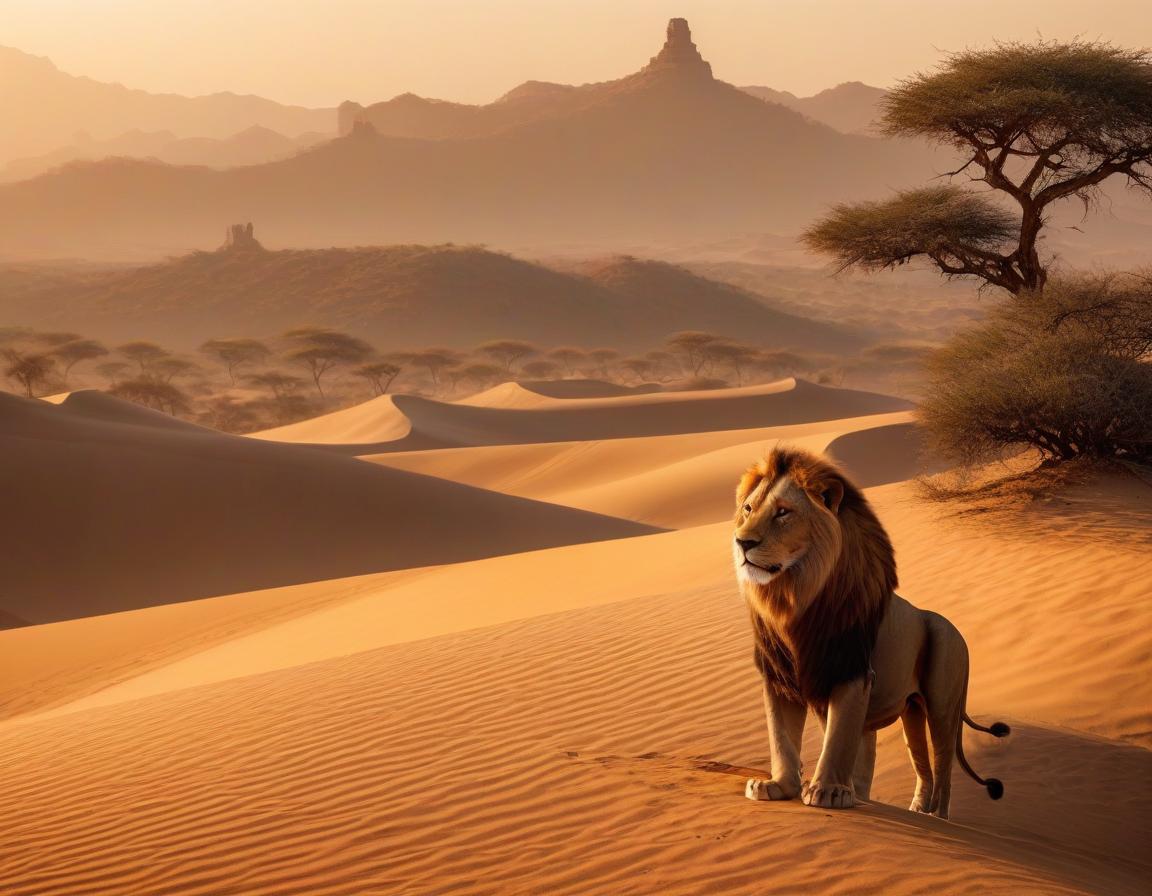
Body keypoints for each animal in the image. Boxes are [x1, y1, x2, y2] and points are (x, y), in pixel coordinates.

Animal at [732, 442, 1004, 815]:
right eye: (748, 509)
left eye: (783, 512)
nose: (742, 542)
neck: (793, 600)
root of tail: (957, 632)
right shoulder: (780, 676)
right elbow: (782, 736)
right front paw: (778, 786)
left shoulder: (853, 671)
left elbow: (839, 737)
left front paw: (830, 791)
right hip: (912, 712)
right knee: (920, 762)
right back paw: (913, 809)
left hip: (942, 701)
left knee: (944, 767)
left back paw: (937, 816)